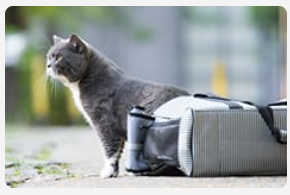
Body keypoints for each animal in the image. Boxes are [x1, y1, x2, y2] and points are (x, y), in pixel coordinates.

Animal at [46, 34, 190, 178]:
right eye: (49, 57)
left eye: (58, 57)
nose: (47, 65)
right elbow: (118, 148)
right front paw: (113, 172)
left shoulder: (104, 121)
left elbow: (109, 147)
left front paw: (107, 172)